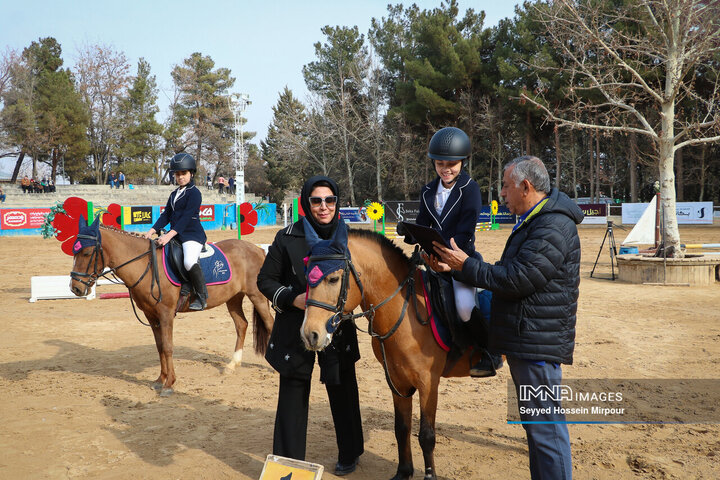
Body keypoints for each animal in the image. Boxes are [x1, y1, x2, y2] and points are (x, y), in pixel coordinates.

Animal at [69, 219, 272, 396]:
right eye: (74, 251)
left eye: (87, 253)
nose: (75, 288)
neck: (147, 265)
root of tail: (257, 248)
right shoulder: (151, 315)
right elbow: (159, 346)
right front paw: (160, 380)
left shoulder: (166, 313)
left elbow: (167, 347)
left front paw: (169, 384)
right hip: (234, 298)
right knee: (241, 325)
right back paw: (232, 365)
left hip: (257, 296)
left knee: (269, 324)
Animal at [298, 229, 484, 480]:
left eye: (333, 279)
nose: (310, 334)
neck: (406, 313)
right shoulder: (397, 380)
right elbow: (401, 428)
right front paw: (403, 472)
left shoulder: (428, 382)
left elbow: (426, 435)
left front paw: (429, 475)